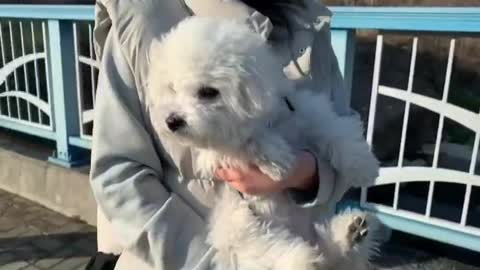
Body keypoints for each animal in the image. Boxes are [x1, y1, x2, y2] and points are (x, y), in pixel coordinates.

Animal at [148, 16, 380, 270]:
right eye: (172, 88)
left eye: (208, 92)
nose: (172, 121)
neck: (264, 121)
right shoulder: (216, 154)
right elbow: (243, 142)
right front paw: (276, 159)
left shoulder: (304, 111)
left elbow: (332, 127)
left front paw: (362, 165)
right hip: (238, 225)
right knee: (268, 248)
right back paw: (303, 259)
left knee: (333, 250)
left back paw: (352, 233)